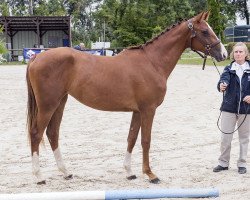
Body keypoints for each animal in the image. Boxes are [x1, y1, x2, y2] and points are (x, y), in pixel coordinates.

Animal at [26, 11, 228, 184]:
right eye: (205, 31)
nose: (224, 54)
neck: (152, 62)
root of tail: (36, 58)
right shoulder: (148, 110)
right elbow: (146, 140)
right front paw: (150, 174)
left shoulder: (137, 111)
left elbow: (131, 138)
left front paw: (130, 172)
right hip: (48, 105)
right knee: (36, 133)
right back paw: (38, 176)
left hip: (60, 103)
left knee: (52, 133)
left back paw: (65, 172)